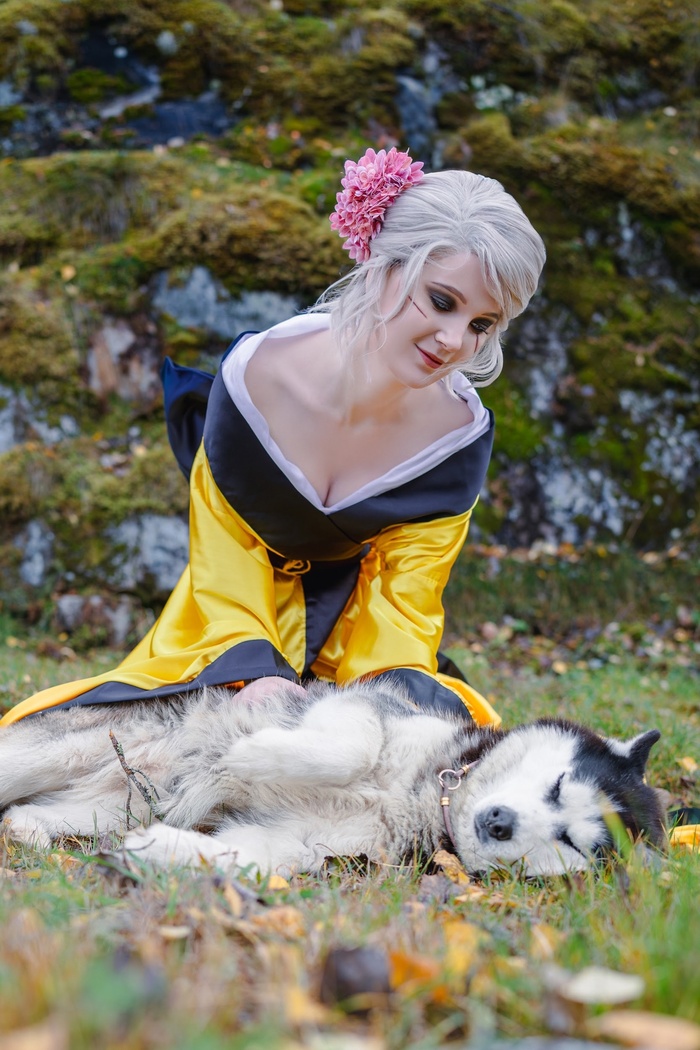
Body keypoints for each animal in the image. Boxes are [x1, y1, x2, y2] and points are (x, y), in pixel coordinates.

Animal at [0, 679, 666, 878]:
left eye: (572, 842)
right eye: (557, 785)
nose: (498, 822)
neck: (425, 794)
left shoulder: (300, 842)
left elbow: (252, 856)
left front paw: (161, 847)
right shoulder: (363, 704)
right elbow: (352, 746)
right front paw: (251, 755)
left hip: (106, 805)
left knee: (27, 814)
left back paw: (28, 833)